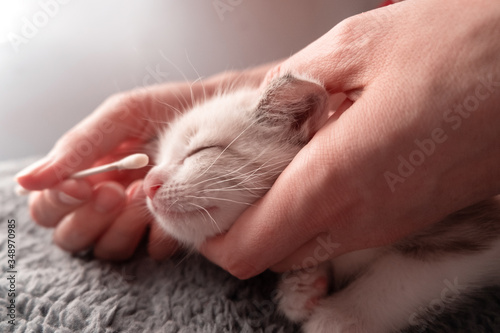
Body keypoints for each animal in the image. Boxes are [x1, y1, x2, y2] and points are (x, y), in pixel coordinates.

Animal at [144, 73, 500, 332]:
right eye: (159, 160)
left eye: (201, 150)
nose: (148, 184)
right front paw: (303, 287)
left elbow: (408, 274)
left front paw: (340, 317)